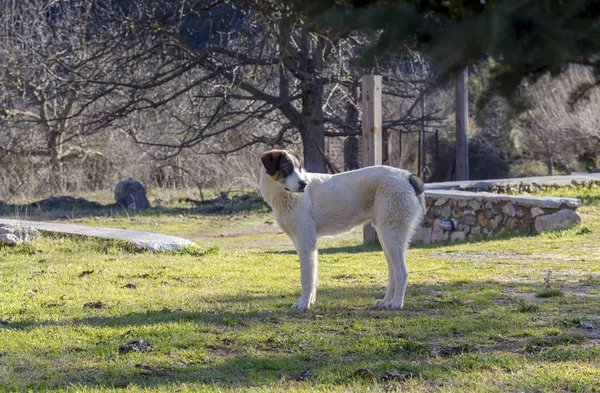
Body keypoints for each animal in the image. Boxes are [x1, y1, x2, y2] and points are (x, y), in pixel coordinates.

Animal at [260, 149, 424, 310]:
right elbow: (313, 275)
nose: (303, 184)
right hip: (386, 237)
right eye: (286, 168)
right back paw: (386, 301)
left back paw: (396, 303)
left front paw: (303, 304)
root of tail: (407, 176)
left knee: (401, 272)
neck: (284, 195)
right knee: (392, 272)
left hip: (392, 235)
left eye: (299, 168)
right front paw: (310, 301)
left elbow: (306, 277)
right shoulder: (305, 243)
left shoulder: (305, 241)